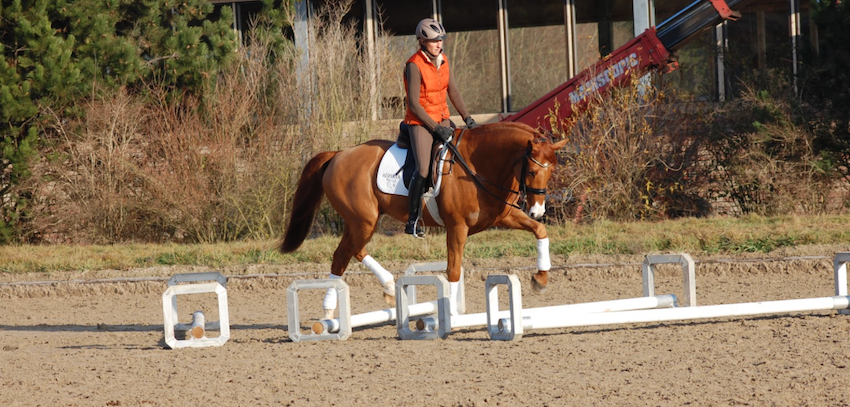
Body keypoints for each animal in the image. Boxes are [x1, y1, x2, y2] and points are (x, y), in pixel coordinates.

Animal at [282, 122, 568, 318]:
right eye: (532, 171)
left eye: (552, 169)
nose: (538, 209)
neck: (478, 164)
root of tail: (339, 154)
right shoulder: (457, 227)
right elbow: (453, 270)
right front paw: (451, 314)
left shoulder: (504, 216)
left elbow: (540, 231)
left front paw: (541, 279)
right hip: (364, 220)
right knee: (342, 255)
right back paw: (329, 311)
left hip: (361, 222)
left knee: (353, 250)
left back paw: (388, 288)